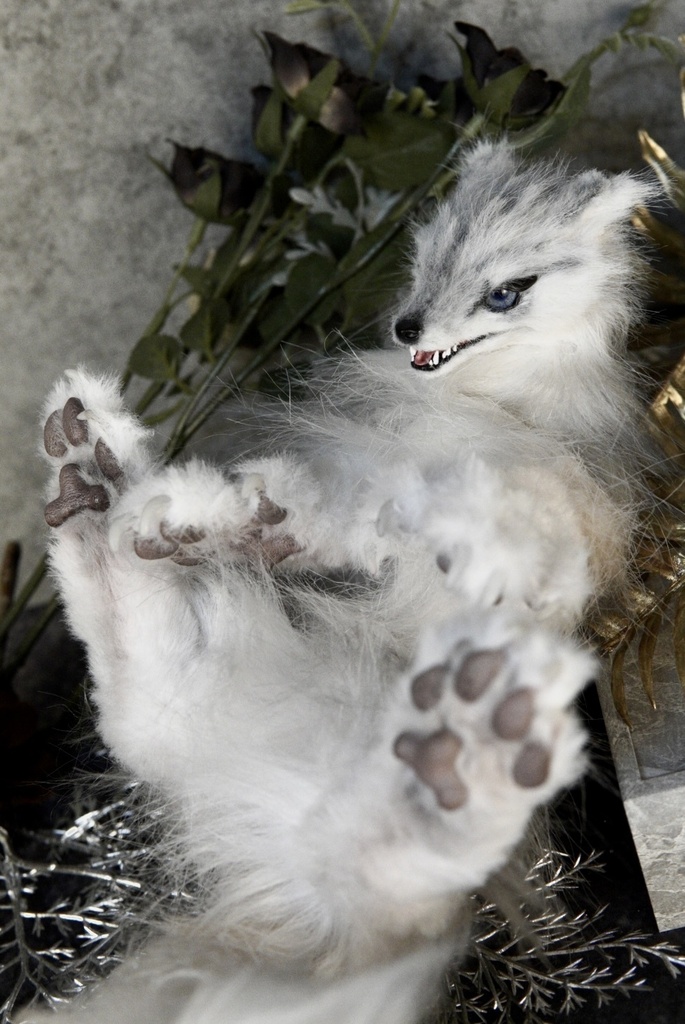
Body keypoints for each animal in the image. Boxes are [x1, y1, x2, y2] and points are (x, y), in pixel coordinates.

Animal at [21, 140, 656, 1023]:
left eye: (506, 291)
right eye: (423, 264)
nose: (407, 327)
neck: (499, 398)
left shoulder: (569, 507)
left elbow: (503, 513)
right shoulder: (373, 476)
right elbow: (345, 516)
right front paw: (236, 522)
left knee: (402, 888)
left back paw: (470, 745)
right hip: (212, 711)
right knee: (140, 703)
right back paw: (88, 471)